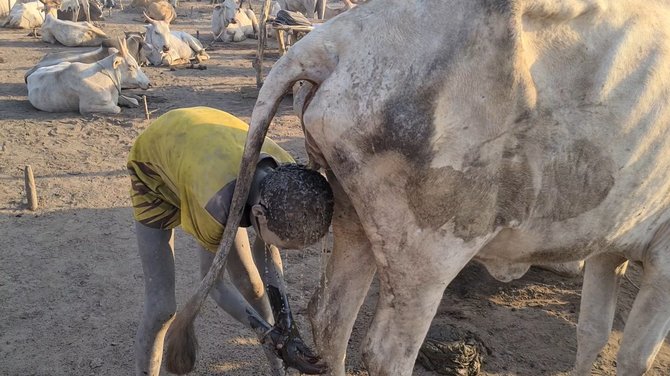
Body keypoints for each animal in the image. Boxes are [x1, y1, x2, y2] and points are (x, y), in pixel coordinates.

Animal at [168, 0, 670, 376]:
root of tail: (330, 41)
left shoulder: (609, 243)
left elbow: (594, 334)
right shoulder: (663, 253)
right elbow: (634, 357)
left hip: (352, 218)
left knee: (329, 319)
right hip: (430, 252)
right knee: (385, 352)